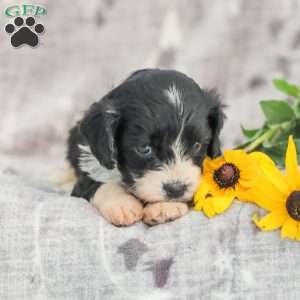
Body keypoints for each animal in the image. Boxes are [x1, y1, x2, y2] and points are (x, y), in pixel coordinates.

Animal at [67, 69, 224, 226]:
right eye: (144, 149)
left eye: (196, 145)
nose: (176, 189)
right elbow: (97, 184)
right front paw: (122, 204)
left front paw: (165, 206)